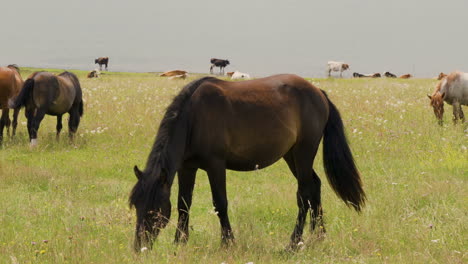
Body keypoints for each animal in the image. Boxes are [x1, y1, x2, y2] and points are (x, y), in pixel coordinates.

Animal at [129, 73, 366, 252]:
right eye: (136, 205)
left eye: (154, 210)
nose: (140, 247)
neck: (194, 117)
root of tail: (318, 93)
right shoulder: (187, 167)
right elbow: (183, 204)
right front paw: (180, 242)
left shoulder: (215, 165)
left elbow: (220, 203)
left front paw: (228, 242)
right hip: (291, 156)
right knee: (314, 187)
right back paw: (318, 236)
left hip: (304, 152)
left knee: (304, 194)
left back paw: (293, 243)